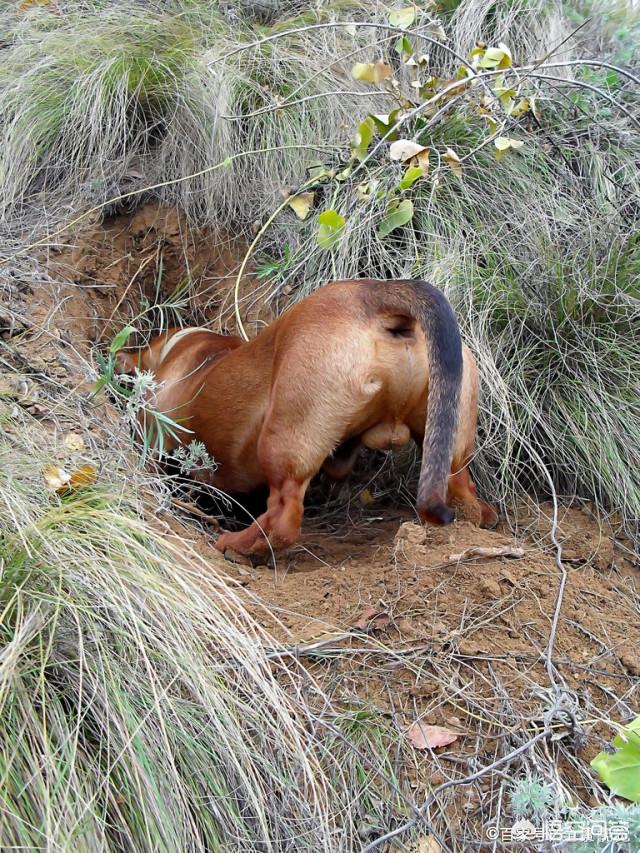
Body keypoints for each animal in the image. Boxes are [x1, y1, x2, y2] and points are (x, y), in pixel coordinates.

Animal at [117, 280, 498, 556]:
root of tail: (372, 294)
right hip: (452, 445)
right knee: (464, 491)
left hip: (282, 443)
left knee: (283, 518)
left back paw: (241, 546)